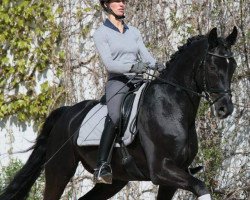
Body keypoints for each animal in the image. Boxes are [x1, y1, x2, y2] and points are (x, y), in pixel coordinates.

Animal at [0, 26, 238, 200]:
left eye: (233, 66)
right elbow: (201, 187)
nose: (224, 108)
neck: (172, 108)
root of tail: (67, 112)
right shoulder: (161, 170)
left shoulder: (172, 177)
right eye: (212, 67)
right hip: (60, 168)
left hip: (113, 182)